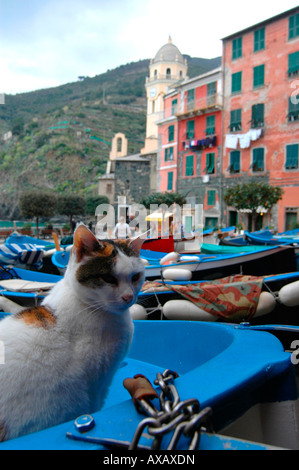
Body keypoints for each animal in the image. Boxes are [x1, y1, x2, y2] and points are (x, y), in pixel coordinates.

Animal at [0, 224, 145, 440]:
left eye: (135, 277)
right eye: (108, 278)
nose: (129, 297)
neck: (87, 304)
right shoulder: (97, 384)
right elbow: (94, 405)